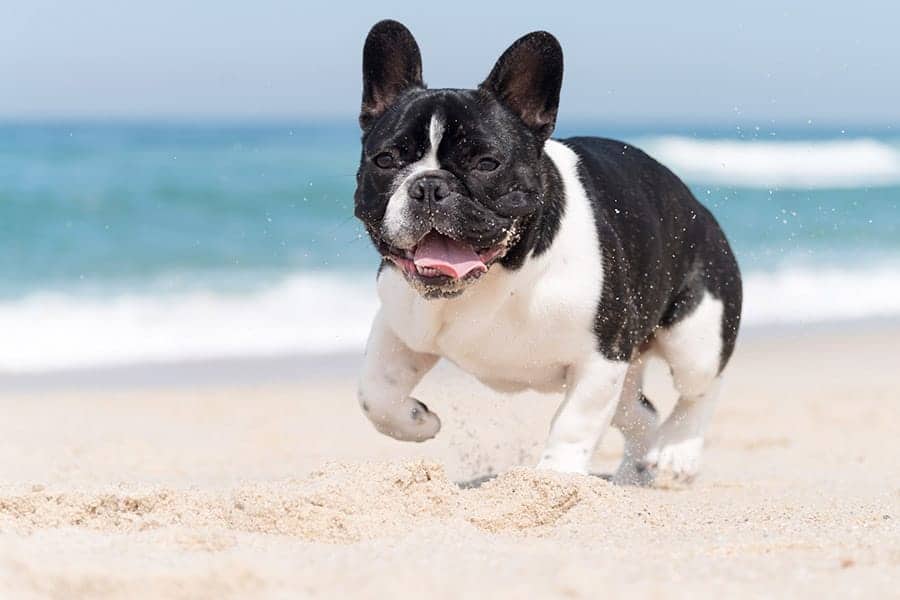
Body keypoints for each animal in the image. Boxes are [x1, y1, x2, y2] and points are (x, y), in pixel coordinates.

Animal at [352, 21, 740, 486]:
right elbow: (375, 391)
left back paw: (677, 454)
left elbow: (574, 422)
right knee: (640, 413)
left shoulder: (601, 356)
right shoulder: (400, 325)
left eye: (487, 163)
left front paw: (554, 480)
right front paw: (416, 420)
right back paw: (633, 473)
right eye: (386, 159)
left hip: (694, 333)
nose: (429, 185)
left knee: (702, 388)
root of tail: (698, 206)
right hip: (630, 369)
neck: (498, 274)